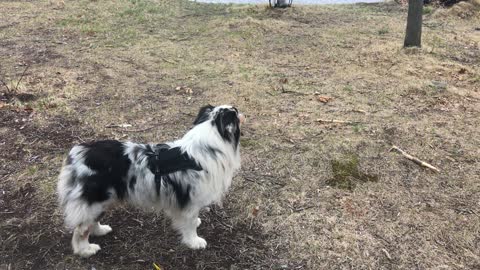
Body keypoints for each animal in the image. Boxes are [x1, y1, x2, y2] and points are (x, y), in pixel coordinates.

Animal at [57, 104, 244, 258]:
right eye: (235, 113)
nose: (241, 112)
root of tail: (77, 154)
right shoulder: (190, 200)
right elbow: (190, 224)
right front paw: (194, 242)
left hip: (101, 201)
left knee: (91, 222)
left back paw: (101, 230)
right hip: (92, 201)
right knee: (80, 231)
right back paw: (86, 250)